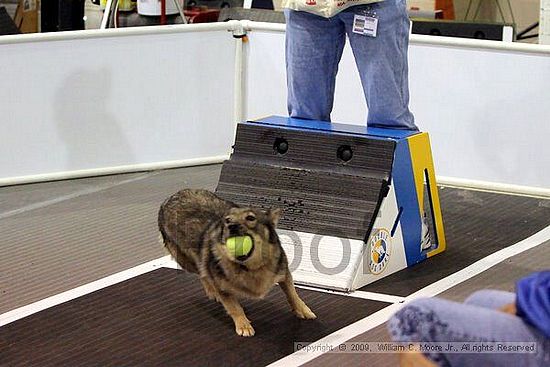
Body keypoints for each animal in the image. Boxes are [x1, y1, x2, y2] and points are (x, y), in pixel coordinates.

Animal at [157, 190, 316, 336]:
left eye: (250, 218)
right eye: (227, 220)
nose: (231, 226)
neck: (251, 268)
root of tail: (170, 198)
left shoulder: (284, 273)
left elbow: (293, 294)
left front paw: (303, 310)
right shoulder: (223, 288)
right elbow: (235, 308)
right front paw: (243, 325)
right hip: (186, 261)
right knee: (202, 272)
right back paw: (211, 290)